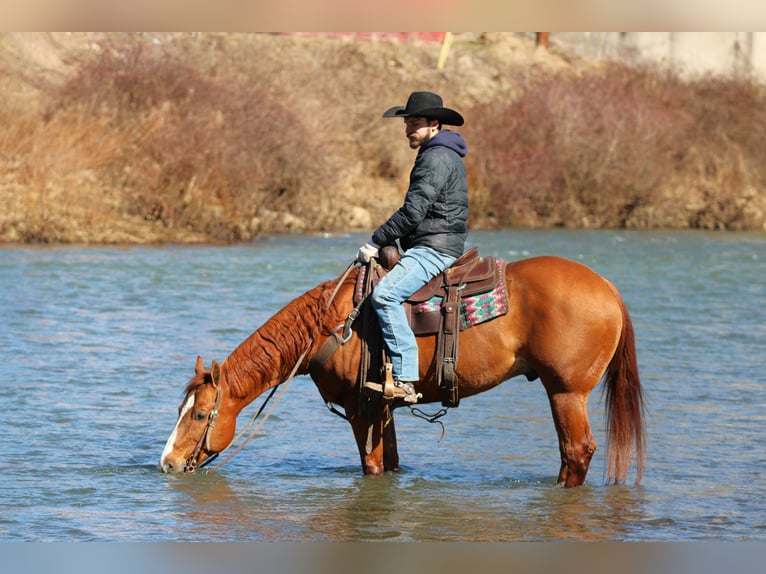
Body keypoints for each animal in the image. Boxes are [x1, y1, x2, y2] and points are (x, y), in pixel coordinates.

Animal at [160, 254, 645, 487]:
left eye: (200, 415)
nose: (168, 463)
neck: (333, 326)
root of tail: (607, 287)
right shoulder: (384, 410)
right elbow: (391, 464)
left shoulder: (362, 411)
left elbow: (373, 468)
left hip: (566, 391)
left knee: (577, 452)